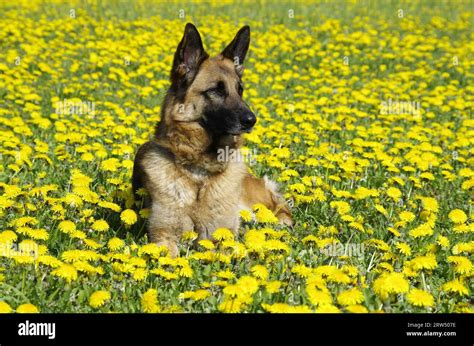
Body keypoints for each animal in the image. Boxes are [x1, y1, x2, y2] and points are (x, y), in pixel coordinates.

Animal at [131, 23, 290, 256]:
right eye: (216, 90)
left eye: (240, 90)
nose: (251, 120)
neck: (200, 172)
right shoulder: (163, 237)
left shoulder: (221, 236)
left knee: (280, 209)